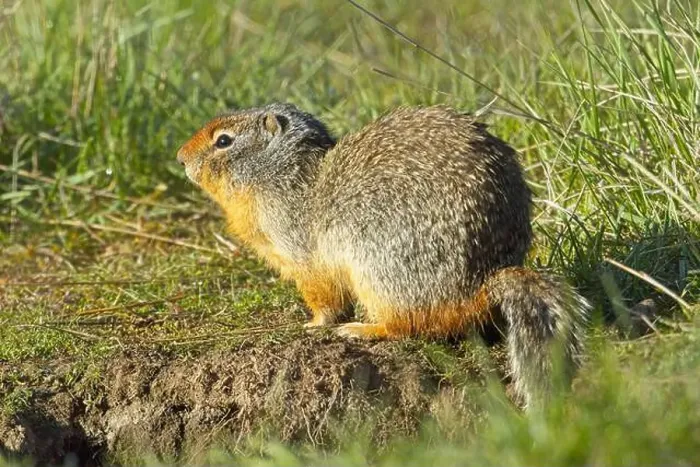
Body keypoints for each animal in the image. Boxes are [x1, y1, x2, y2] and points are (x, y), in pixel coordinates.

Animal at [177, 103, 590, 408]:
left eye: (224, 140)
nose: (180, 156)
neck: (280, 176)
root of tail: (480, 283)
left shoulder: (300, 251)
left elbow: (323, 294)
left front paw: (313, 324)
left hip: (379, 268)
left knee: (407, 325)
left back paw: (363, 328)